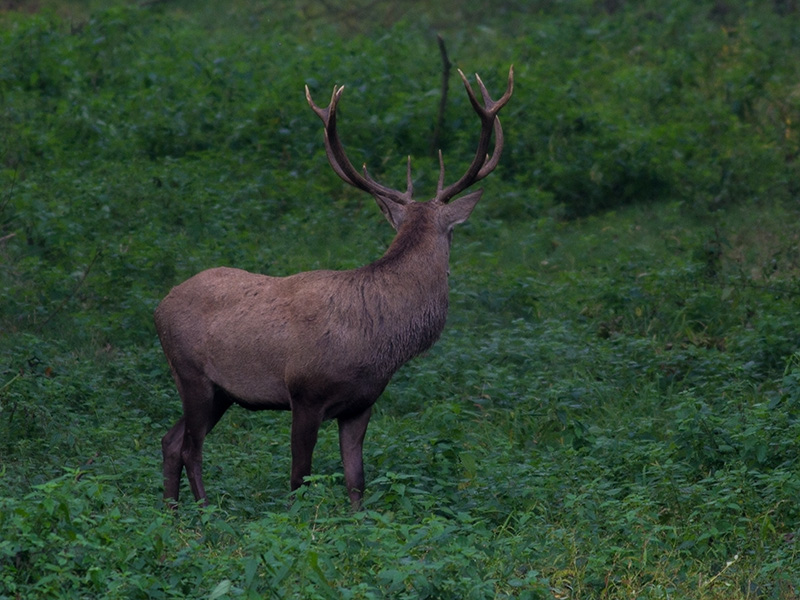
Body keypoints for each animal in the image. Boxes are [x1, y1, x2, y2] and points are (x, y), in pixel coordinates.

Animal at [154, 64, 516, 506]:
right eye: (451, 234)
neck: (376, 342)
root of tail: (159, 306)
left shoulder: (361, 403)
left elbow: (356, 480)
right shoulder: (304, 393)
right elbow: (299, 478)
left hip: (221, 392)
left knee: (170, 441)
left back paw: (173, 511)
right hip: (192, 374)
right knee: (191, 446)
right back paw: (205, 511)